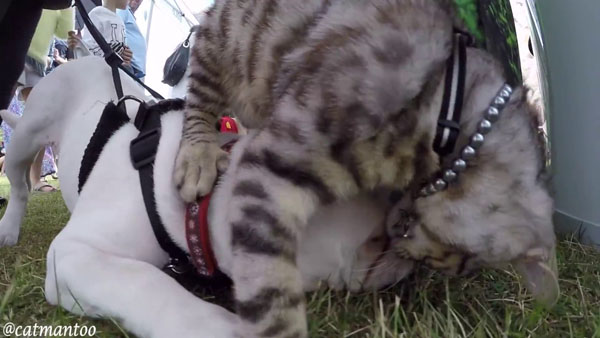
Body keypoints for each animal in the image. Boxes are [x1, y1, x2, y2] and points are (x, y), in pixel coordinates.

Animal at [175, 1, 556, 336]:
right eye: (437, 256)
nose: (403, 251)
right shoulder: (273, 167)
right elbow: (269, 289)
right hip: (230, 39)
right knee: (201, 90)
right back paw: (198, 154)